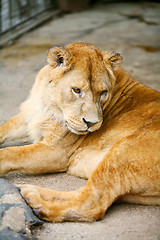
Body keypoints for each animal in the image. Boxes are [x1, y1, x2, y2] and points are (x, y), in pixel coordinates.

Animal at [0, 42, 159, 222]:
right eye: (76, 90)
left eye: (103, 93)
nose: (91, 123)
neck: (48, 103)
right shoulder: (29, 116)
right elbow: (4, 129)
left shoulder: (56, 152)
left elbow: (11, 153)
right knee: (82, 194)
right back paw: (29, 191)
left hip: (122, 152)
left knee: (91, 204)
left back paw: (37, 204)